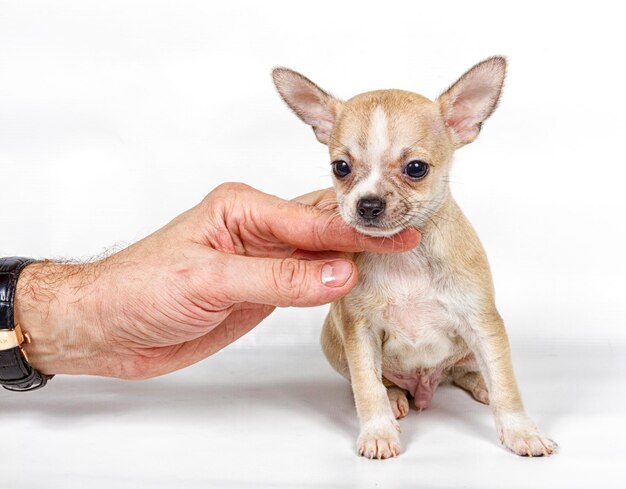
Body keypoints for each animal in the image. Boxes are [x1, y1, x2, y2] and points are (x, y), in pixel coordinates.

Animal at [270, 57, 552, 458]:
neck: (404, 257)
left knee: (463, 371)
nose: (368, 204)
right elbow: (367, 387)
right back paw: (395, 397)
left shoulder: (482, 324)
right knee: (379, 382)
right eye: (341, 168)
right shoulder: (360, 333)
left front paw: (520, 430)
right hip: (334, 343)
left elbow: (506, 384)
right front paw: (377, 431)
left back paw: (479, 384)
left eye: (416, 168)